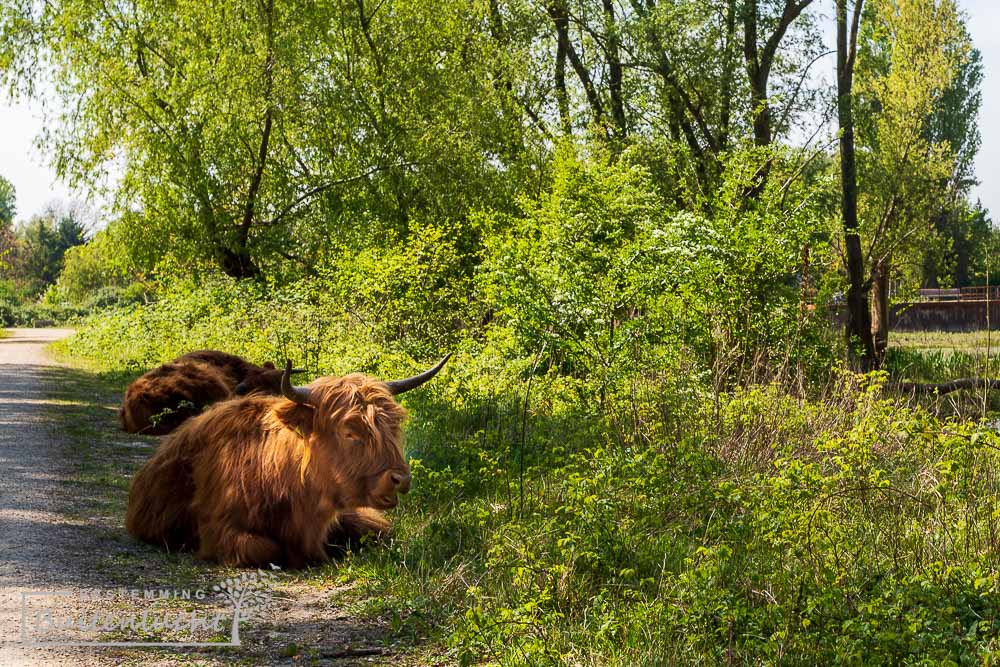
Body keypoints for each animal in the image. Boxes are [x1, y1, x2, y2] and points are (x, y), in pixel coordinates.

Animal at [125, 354, 450, 568]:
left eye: (394, 426)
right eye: (349, 431)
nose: (400, 479)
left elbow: (379, 531)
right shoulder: (218, 529)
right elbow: (265, 549)